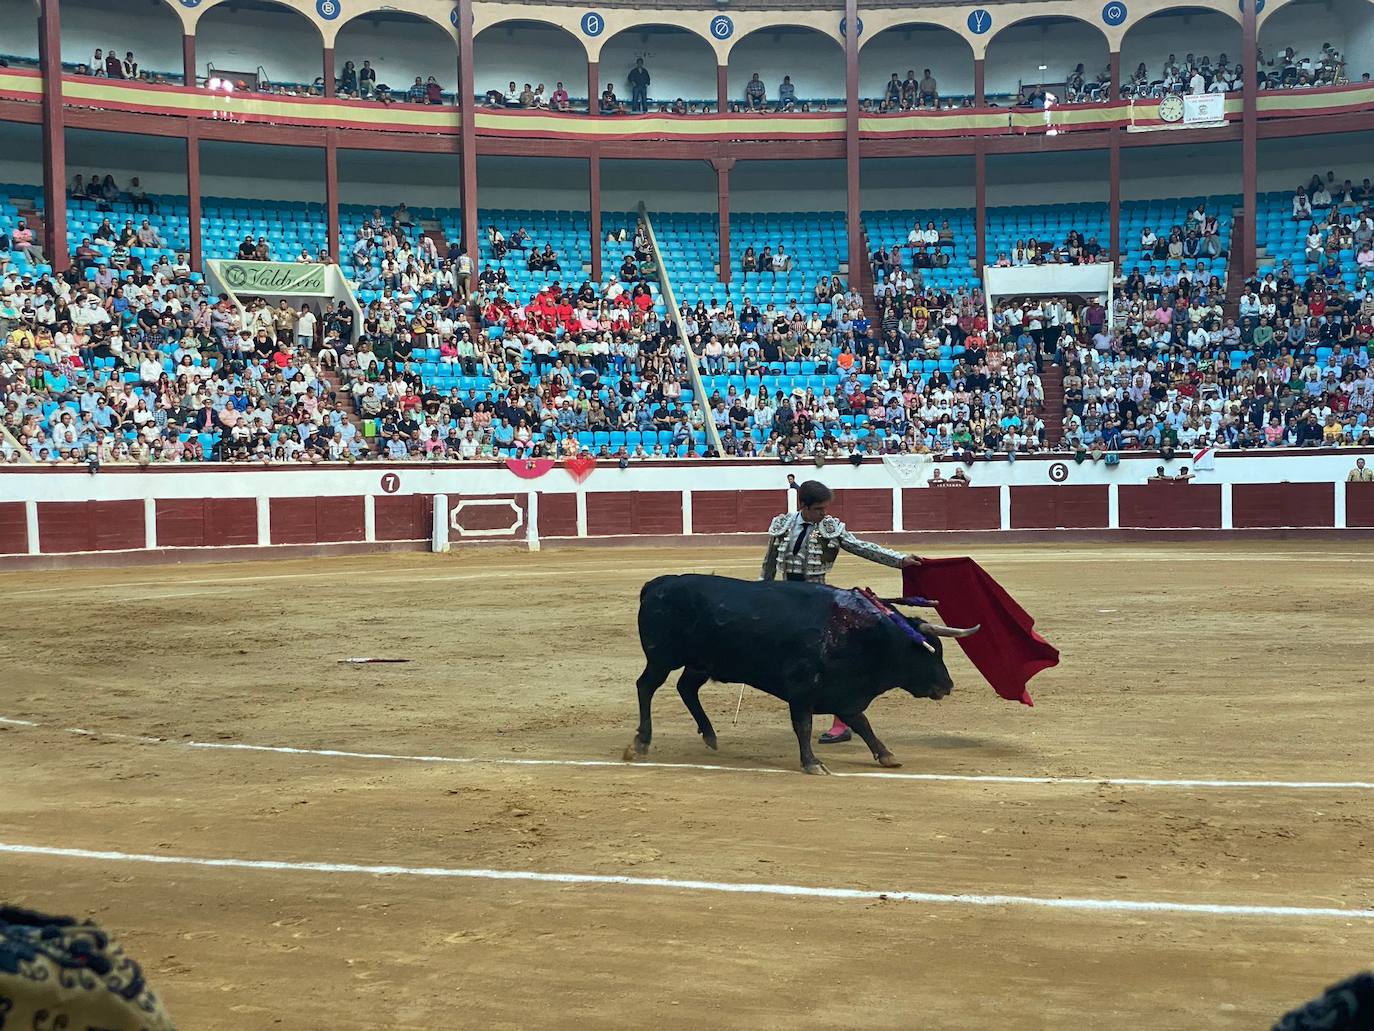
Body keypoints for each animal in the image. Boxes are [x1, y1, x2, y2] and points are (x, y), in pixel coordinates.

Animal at [626, 574, 978, 775]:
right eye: (929, 651)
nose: (947, 685)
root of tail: (655, 585)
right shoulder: (802, 690)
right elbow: (804, 726)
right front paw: (812, 763)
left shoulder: (844, 694)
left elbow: (862, 724)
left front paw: (886, 755)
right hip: (662, 658)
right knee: (646, 687)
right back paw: (640, 743)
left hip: (701, 663)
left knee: (686, 688)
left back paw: (710, 735)